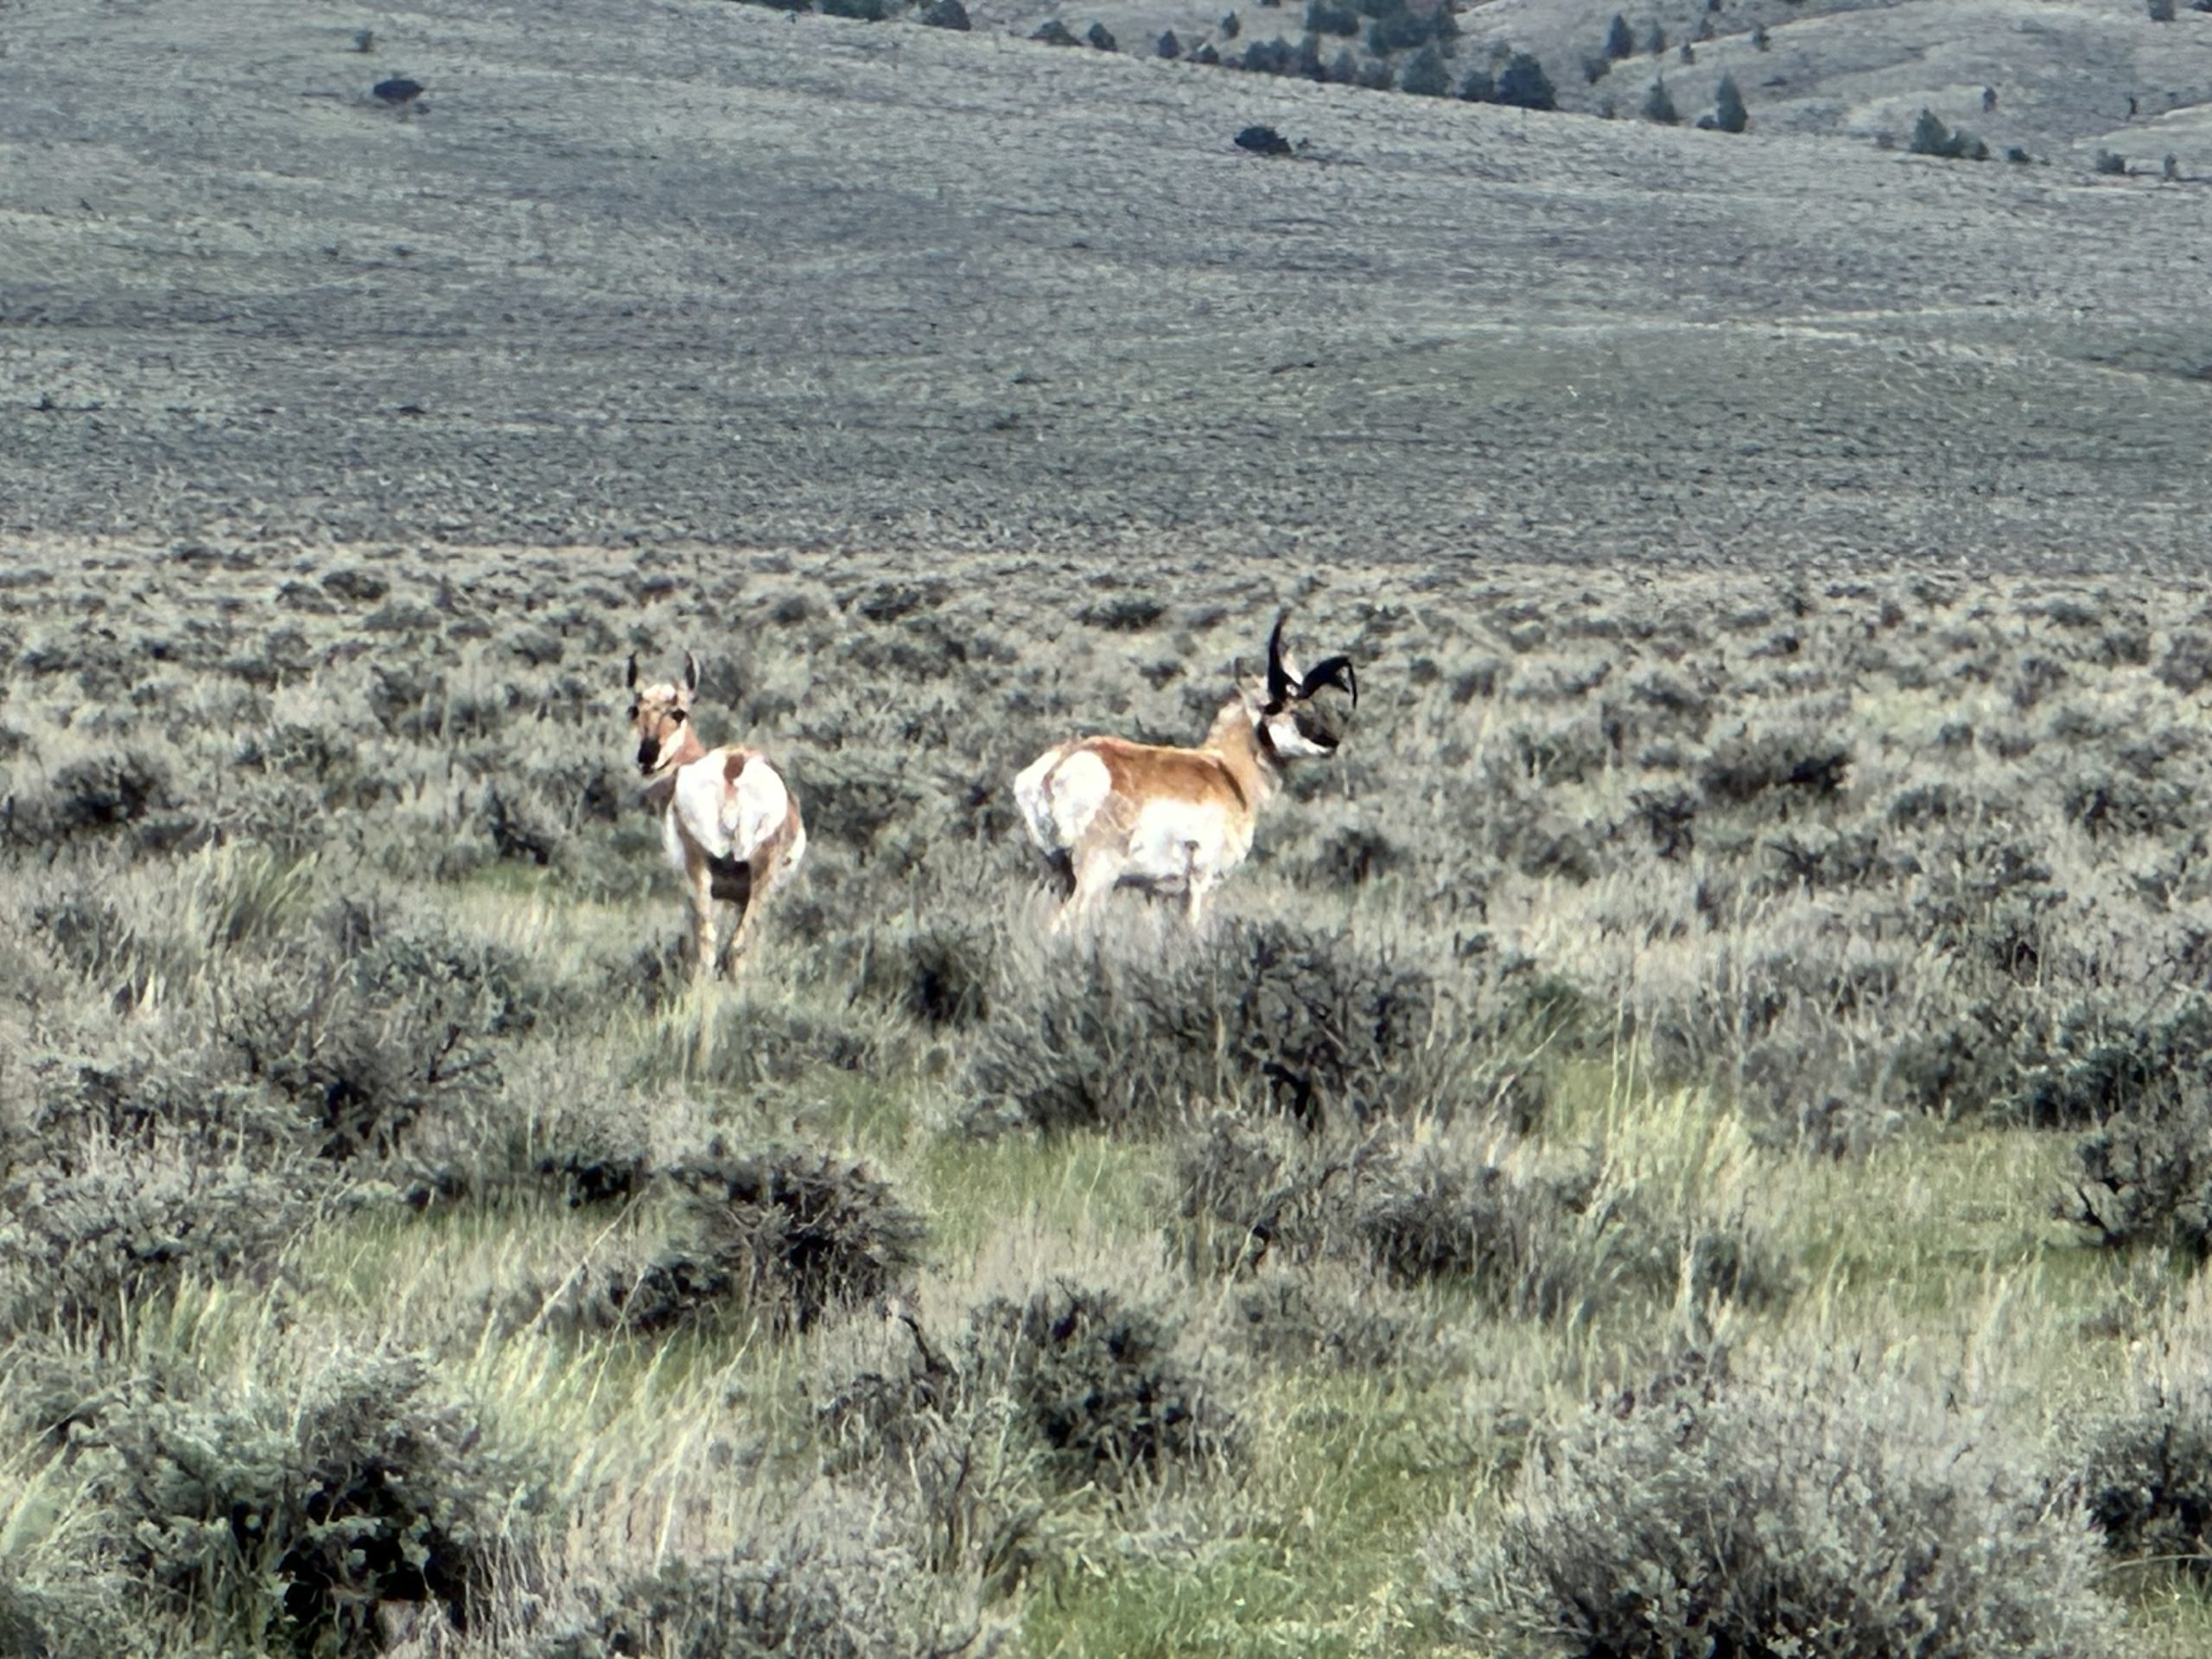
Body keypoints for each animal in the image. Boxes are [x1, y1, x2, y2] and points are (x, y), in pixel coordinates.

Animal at [626, 651, 807, 980]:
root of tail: (732, 768)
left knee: (710, 944)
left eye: (678, 712)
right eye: (635, 710)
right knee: (731, 946)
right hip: (752, 874)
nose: (647, 757)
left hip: (703, 872)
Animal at [1013, 613, 1358, 933]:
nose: (1331, 742)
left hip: (1059, 875)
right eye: (1280, 707)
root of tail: (1059, 764)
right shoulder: (1204, 883)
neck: (1227, 771)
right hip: (1096, 875)